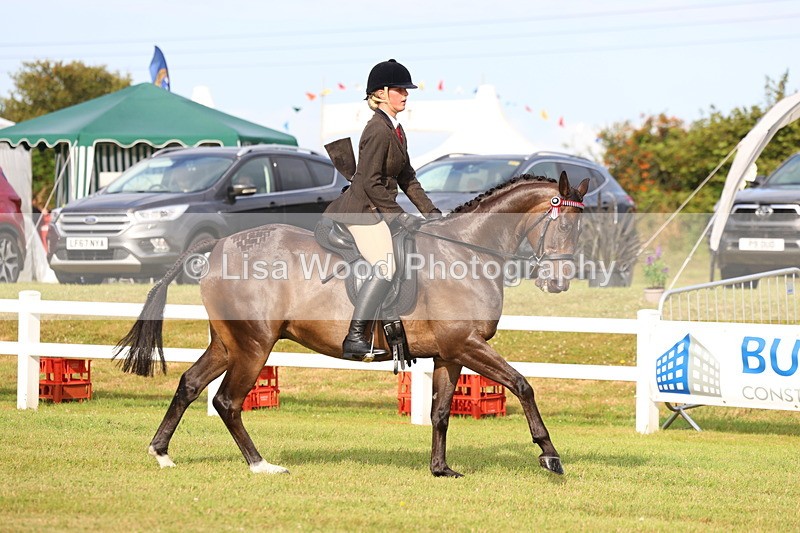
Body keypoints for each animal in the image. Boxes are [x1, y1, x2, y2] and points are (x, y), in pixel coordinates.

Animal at [115, 171, 589, 477]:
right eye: (564, 225)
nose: (559, 282)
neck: (466, 252)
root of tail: (219, 246)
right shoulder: (468, 345)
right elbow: (523, 385)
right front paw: (549, 455)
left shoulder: (450, 353)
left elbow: (439, 412)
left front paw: (441, 469)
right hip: (254, 346)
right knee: (227, 401)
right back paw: (261, 465)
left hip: (228, 343)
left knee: (191, 384)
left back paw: (161, 452)